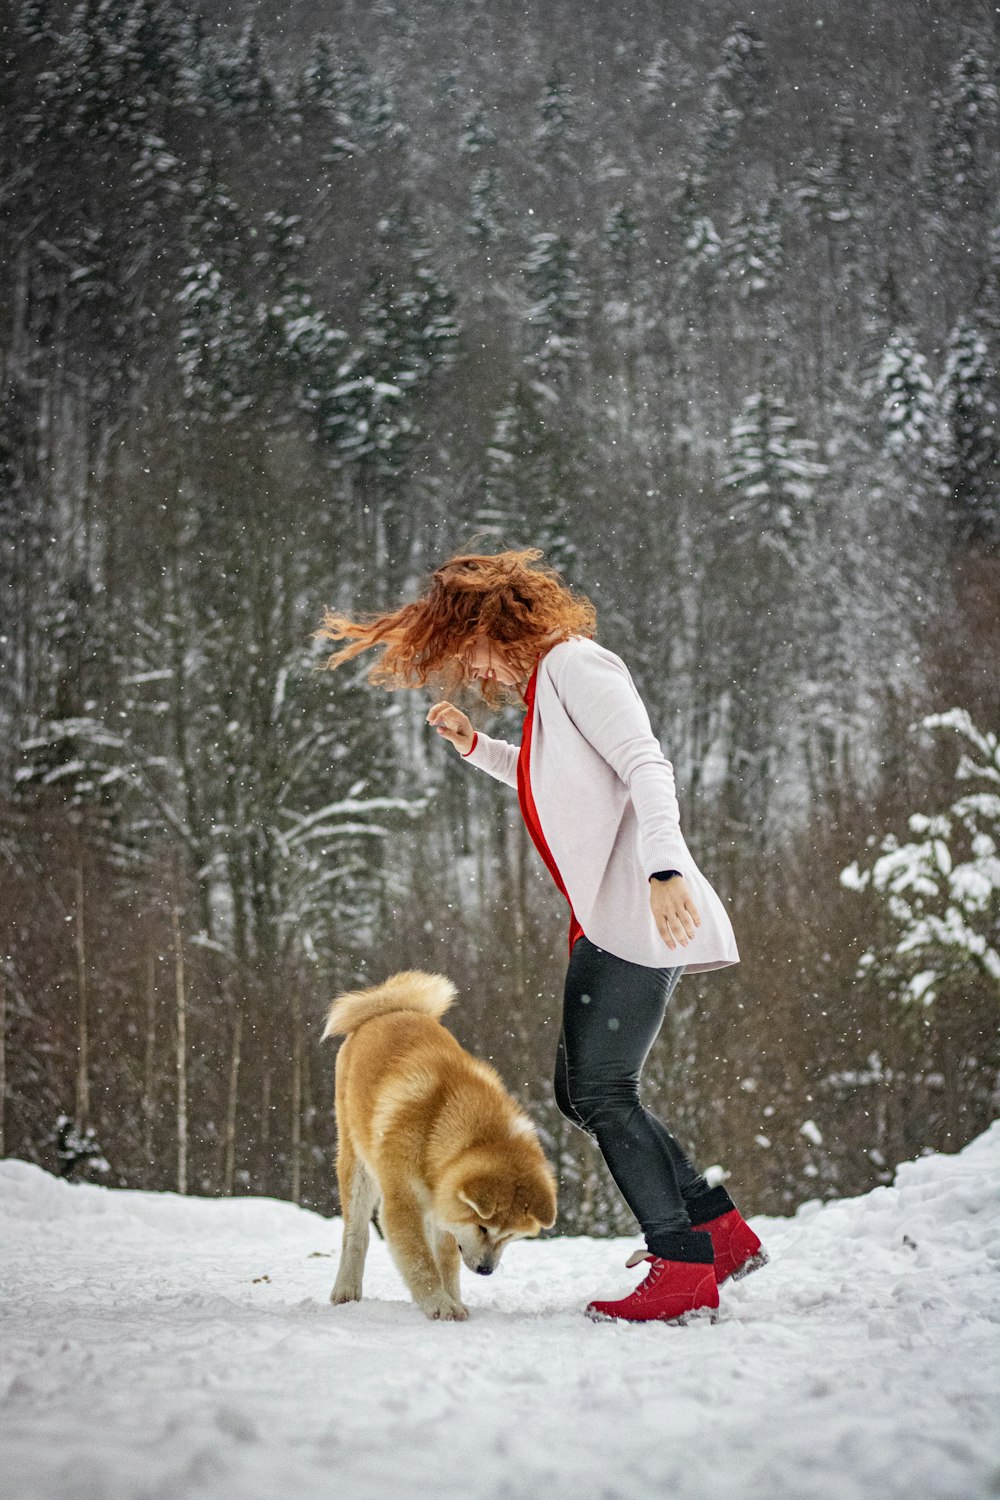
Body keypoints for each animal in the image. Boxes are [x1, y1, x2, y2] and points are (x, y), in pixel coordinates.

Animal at [322, 972, 554, 1314]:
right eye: (483, 1227)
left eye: (510, 1234)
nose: (486, 1269)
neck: (440, 1128)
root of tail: (392, 1009)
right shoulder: (402, 1203)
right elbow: (421, 1261)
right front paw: (440, 1305)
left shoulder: (445, 1209)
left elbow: (445, 1259)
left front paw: (453, 1298)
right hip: (358, 1165)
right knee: (356, 1234)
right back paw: (346, 1289)